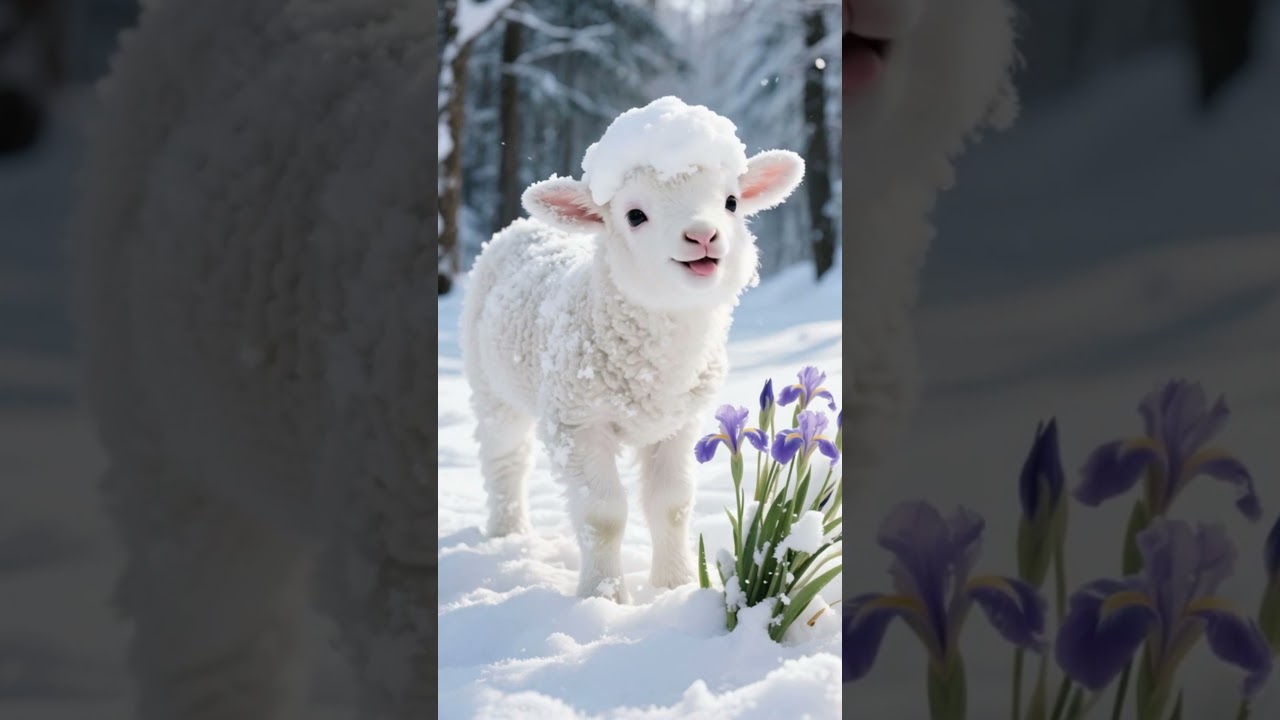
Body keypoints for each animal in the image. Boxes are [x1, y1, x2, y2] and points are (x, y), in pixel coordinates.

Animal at [460, 96, 805, 603]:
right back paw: (508, 532)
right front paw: (602, 597)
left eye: (731, 202)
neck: (653, 367)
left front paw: (673, 585)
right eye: (635, 215)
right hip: (491, 386)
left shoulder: (678, 424)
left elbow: (672, 505)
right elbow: (602, 516)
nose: (703, 236)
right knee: (505, 458)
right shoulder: (578, 423)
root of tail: (521, 226)